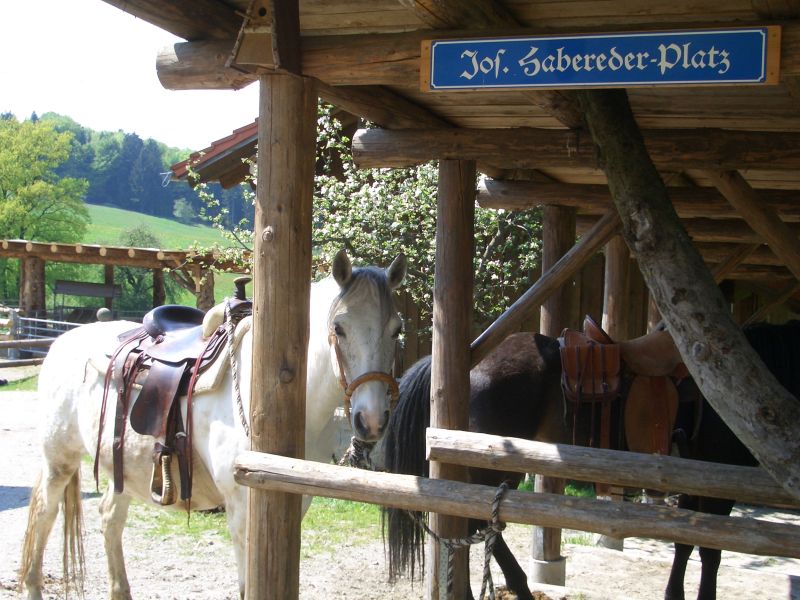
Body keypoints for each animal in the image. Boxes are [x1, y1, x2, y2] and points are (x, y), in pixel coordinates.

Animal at [18, 250, 406, 600]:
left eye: (396, 330)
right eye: (339, 328)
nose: (371, 420)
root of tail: (63, 340)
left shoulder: (296, 500)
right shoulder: (241, 509)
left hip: (122, 468)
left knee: (109, 519)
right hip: (59, 460)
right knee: (45, 513)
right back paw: (34, 587)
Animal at [382, 322, 800, 600]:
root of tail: (470, 370)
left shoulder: (696, 482)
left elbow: (687, 543)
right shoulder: (718, 483)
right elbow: (710, 552)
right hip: (494, 467)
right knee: (480, 526)